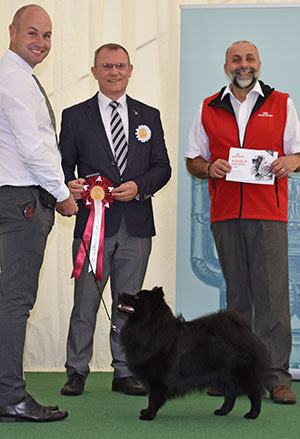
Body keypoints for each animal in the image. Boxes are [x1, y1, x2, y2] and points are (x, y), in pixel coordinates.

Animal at [117, 288, 270, 422]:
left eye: (137, 298)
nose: (119, 293)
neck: (150, 328)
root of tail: (245, 332)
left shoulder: (156, 378)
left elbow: (153, 398)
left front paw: (149, 415)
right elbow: (151, 398)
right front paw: (146, 411)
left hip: (241, 375)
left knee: (255, 394)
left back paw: (252, 414)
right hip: (223, 376)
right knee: (230, 395)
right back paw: (222, 411)